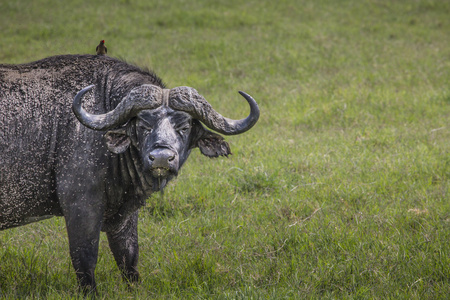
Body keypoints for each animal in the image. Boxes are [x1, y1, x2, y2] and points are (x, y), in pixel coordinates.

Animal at [0, 55, 258, 292]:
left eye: (184, 127)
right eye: (143, 125)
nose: (161, 157)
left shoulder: (125, 214)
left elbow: (128, 256)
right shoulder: (80, 205)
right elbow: (85, 259)